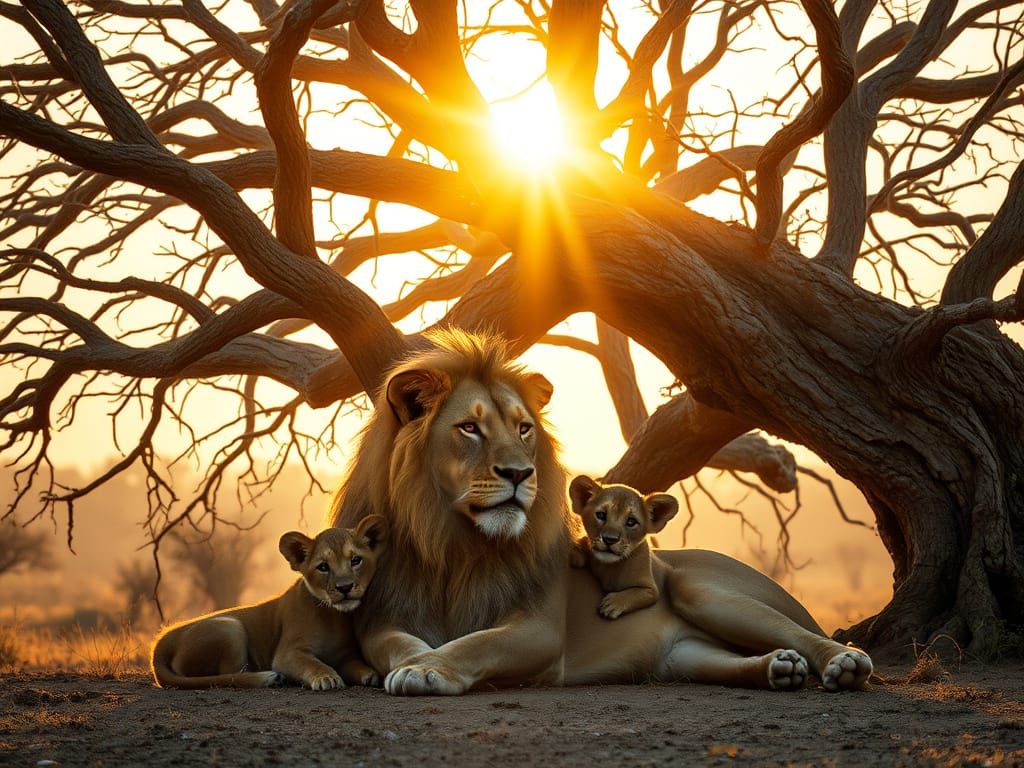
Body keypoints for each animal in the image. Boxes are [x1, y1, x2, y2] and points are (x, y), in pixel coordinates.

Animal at [151, 518, 386, 690]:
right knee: (230, 674)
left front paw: (369, 674)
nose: (344, 587)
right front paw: (326, 677)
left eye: (355, 560)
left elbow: (357, 665)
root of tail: (163, 640)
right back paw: (270, 678)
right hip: (230, 626)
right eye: (323, 567)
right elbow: (313, 662)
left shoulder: (345, 655)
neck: (333, 615)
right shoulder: (287, 653)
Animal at [332, 330, 871, 694]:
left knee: (804, 634)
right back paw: (780, 668)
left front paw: (430, 667)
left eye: (524, 428)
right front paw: (417, 660)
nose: (520, 473)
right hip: (684, 657)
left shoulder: (540, 631)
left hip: (702, 591)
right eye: (469, 428)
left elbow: (475, 644)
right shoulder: (382, 618)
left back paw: (842, 662)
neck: (453, 542)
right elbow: (397, 645)